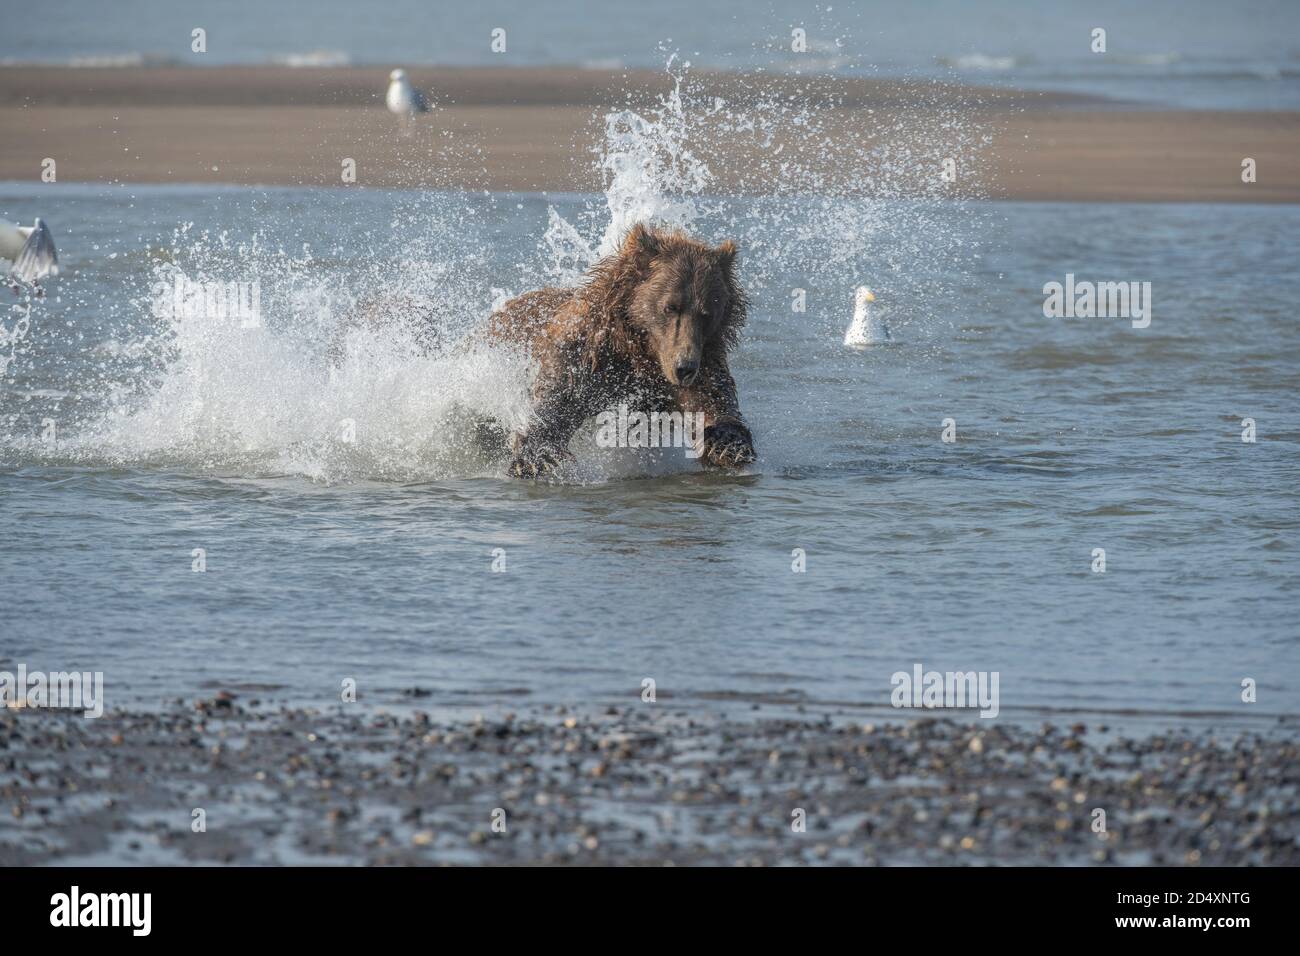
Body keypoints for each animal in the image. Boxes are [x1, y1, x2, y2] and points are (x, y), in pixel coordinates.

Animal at [488, 225, 754, 478]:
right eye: (670, 307)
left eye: (706, 313)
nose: (684, 368)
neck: (638, 350)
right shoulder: (586, 353)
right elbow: (559, 401)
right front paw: (533, 458)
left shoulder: (699, 358)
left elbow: (712, 401)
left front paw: (730, 446)